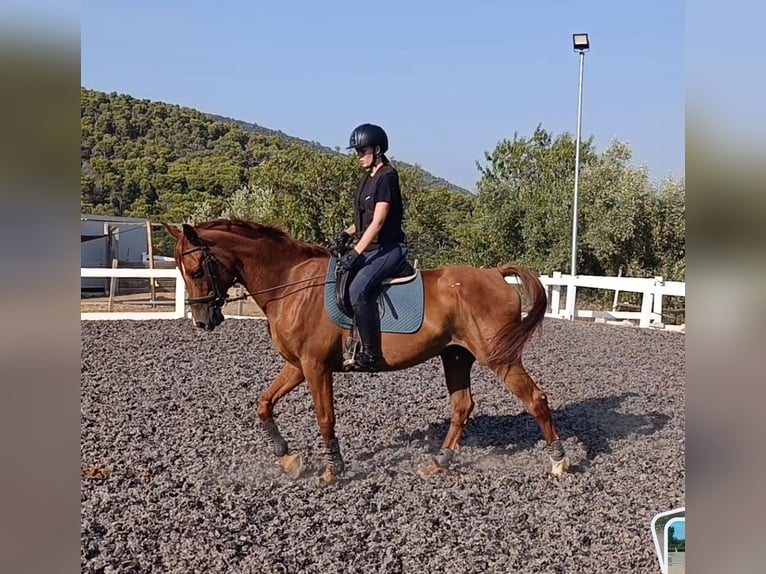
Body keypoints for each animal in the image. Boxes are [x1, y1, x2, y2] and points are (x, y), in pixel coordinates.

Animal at [162, 218, 570, 483]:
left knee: (535, 398)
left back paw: (559, 461)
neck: (290, 284)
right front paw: (287, 458)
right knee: (463, 407)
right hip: (456, 355)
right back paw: (439, 462)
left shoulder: (315, 366)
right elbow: (264, 403)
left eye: (196, 270)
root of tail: (495, 274)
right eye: (182, 271)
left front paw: (333, 469)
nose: (202, 321)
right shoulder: (297, 365)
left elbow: (325, 417)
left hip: (498, 357)